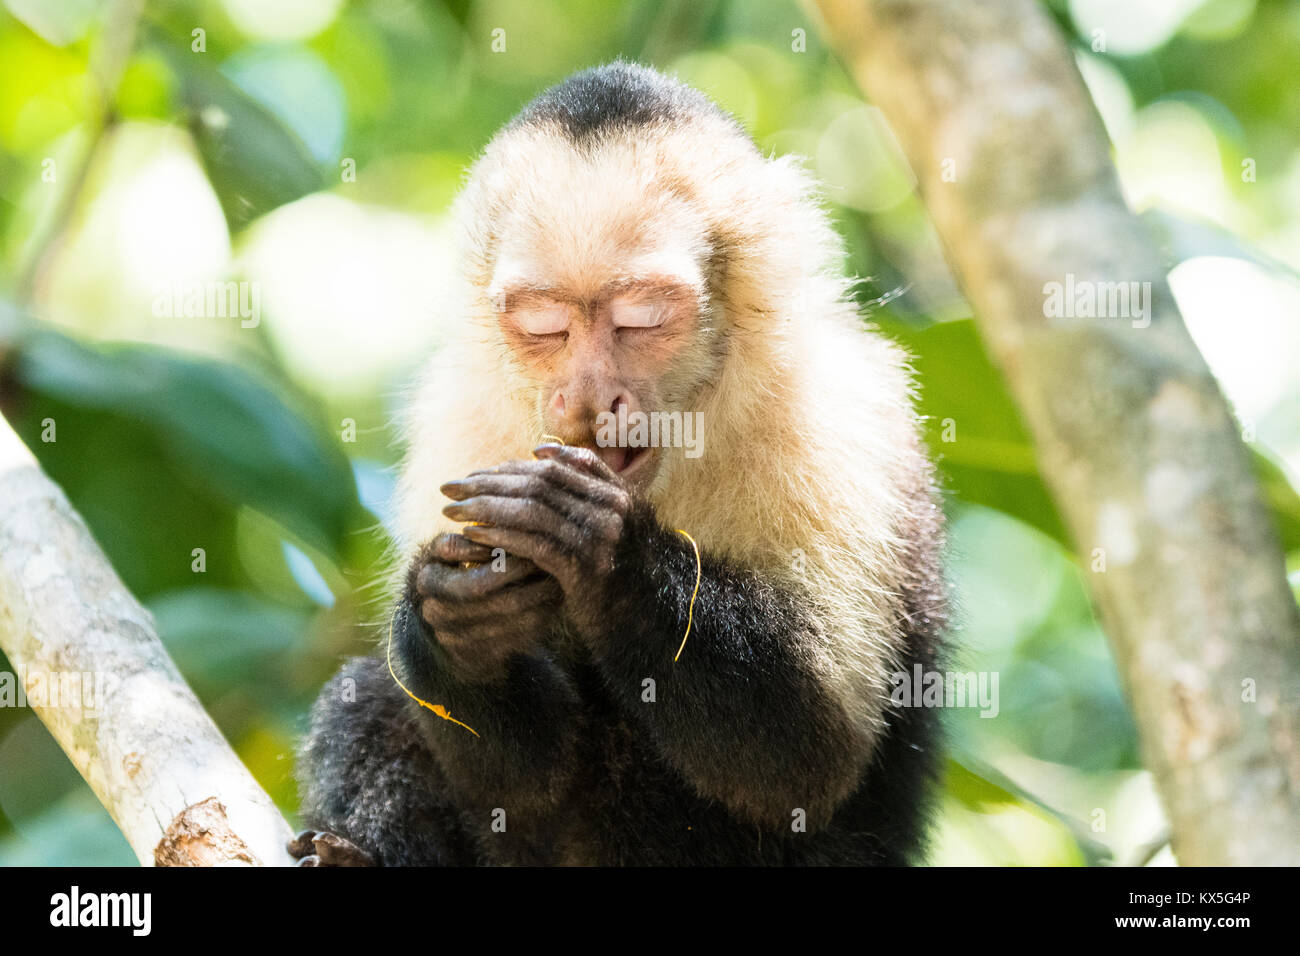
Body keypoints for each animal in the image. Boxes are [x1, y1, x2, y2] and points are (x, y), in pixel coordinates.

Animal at [292, 59, 946, 868]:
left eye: (640, 319)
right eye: (545, 326)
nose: (586, 396)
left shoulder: (835, 411)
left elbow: (808, 761)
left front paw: (594, 544)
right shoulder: (459, 412)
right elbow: (516, 774)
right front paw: (457, 614)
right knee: (371, 694)